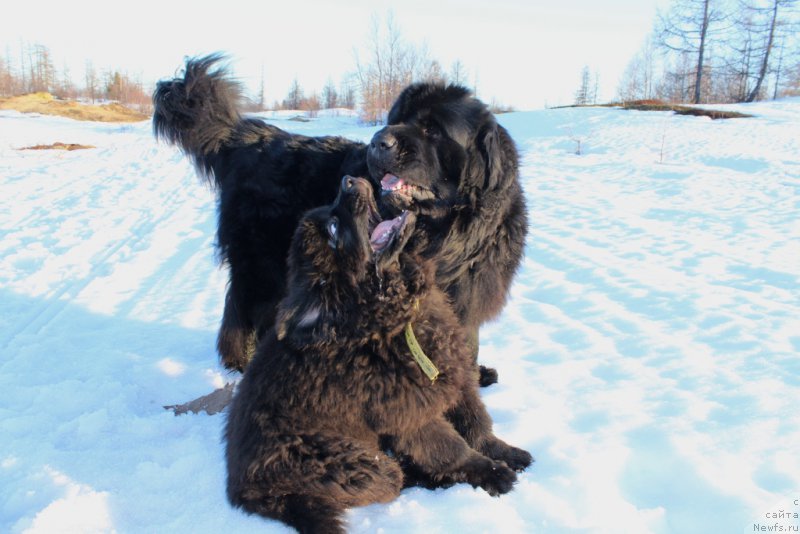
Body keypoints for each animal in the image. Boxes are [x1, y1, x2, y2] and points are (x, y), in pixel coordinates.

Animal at [155, 55, 532, 386]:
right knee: (248, 310)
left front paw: (473, 373)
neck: (447, 233)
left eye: (432, 129)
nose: (380, 140)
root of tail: (244, 137)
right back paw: (243, 361)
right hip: (263, 261)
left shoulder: (468, 291)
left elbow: (467, 337)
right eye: (397, 119)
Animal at [223, 177, 532, 534]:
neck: (394, 317)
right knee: (395, 480)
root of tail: (244, 493)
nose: (347, 181)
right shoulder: (413, 417)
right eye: (333, 229)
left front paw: (504, 453)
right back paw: (433, 480)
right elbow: (451, 449)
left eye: (330, 213)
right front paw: (492, 474)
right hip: (358, 465)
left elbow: (476, 422)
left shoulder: (453, 375)